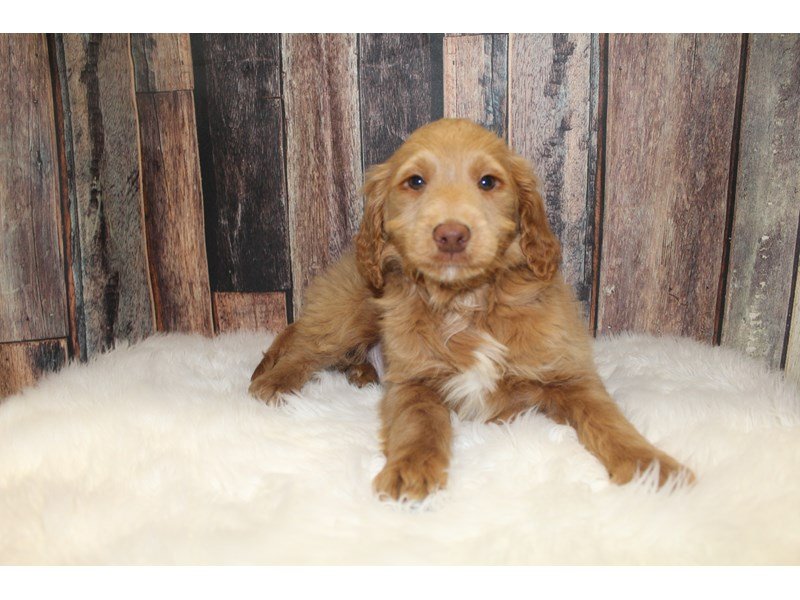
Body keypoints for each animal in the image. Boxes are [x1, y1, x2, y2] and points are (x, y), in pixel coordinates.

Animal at [249, 118, 694, 501]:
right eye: (415, 181)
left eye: (488, 182)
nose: (451, 234)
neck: (467, 302)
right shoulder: (414, 379)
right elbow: (418, 422)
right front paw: (411, 470)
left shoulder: (571, 375)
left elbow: (609, 421)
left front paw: (651, 466)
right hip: (351, 308)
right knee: (308, 348)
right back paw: (274, 383)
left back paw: (362, 374)